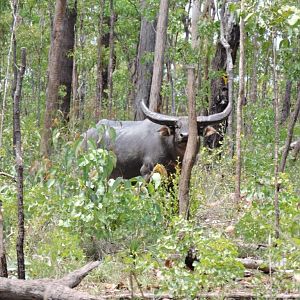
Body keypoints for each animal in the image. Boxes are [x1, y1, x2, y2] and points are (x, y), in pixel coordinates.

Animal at [82, 99, 232, 178]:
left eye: (195, 127)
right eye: (177, 126)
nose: (185, 136)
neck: (173, 155)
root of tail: (86, 135)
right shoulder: (146, 172)